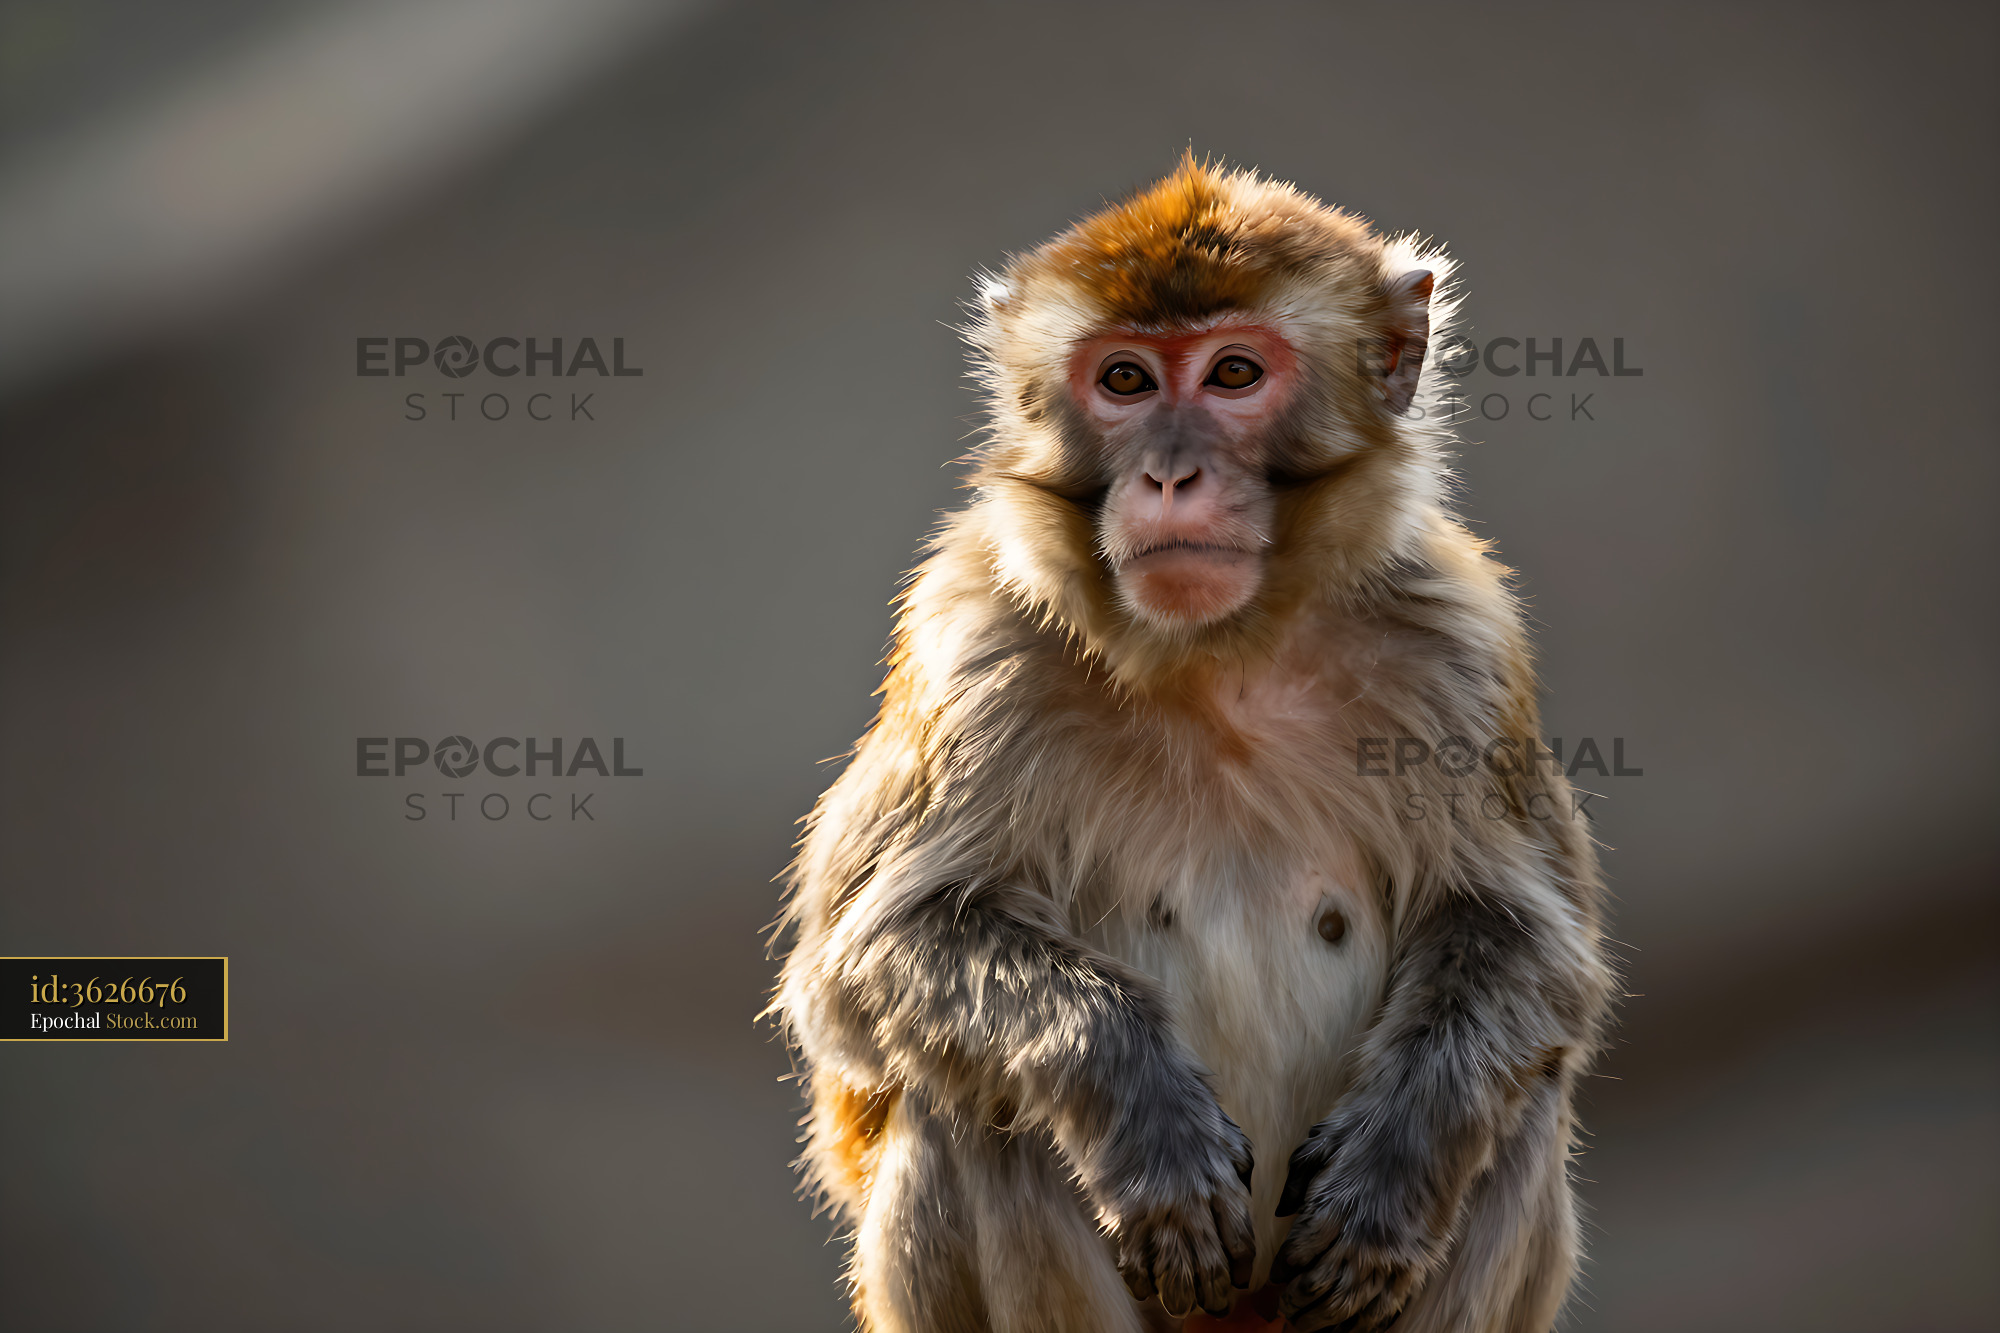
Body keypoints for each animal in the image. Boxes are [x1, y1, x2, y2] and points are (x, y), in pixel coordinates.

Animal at [770, 156, 1613, 1333]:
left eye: (1231, 374)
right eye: (1124, 379)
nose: (1170, 475)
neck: (1219, 656)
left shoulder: (1456, 648)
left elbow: (1526, 942)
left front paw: (1387, 1179)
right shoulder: (977, 643)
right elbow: (869, 959)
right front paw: (1149, 1122)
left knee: (1524, 1102)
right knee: (968, 1107)